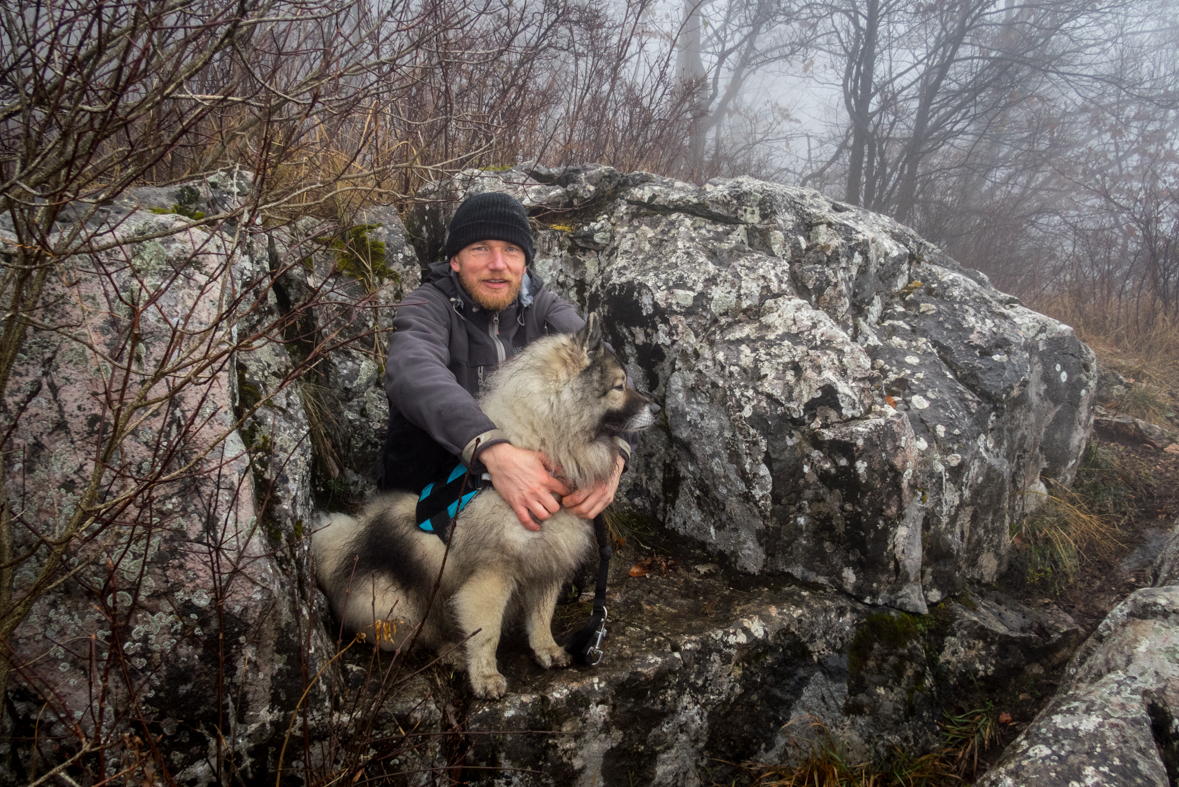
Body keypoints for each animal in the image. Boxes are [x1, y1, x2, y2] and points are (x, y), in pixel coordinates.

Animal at [311, 315, 664, 697]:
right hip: (397, 610)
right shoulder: (493, 575)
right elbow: (486, 632)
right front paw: (485, 677)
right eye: (619, 386)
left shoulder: (546, 565)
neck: (546, 450)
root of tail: (346, 552)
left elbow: (541, 617)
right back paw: (451, 653)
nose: (658, 408)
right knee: (418, 638)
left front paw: (547, 649)